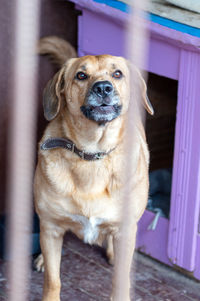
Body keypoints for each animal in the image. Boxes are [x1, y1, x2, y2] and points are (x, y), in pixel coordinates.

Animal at [34, 35, 153, 300]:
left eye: (117, 74)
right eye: (81, 75)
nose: (103, 88)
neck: (92, 154)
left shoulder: (125, 229)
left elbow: (120, 281)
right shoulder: (51, 227)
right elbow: (53, 280)